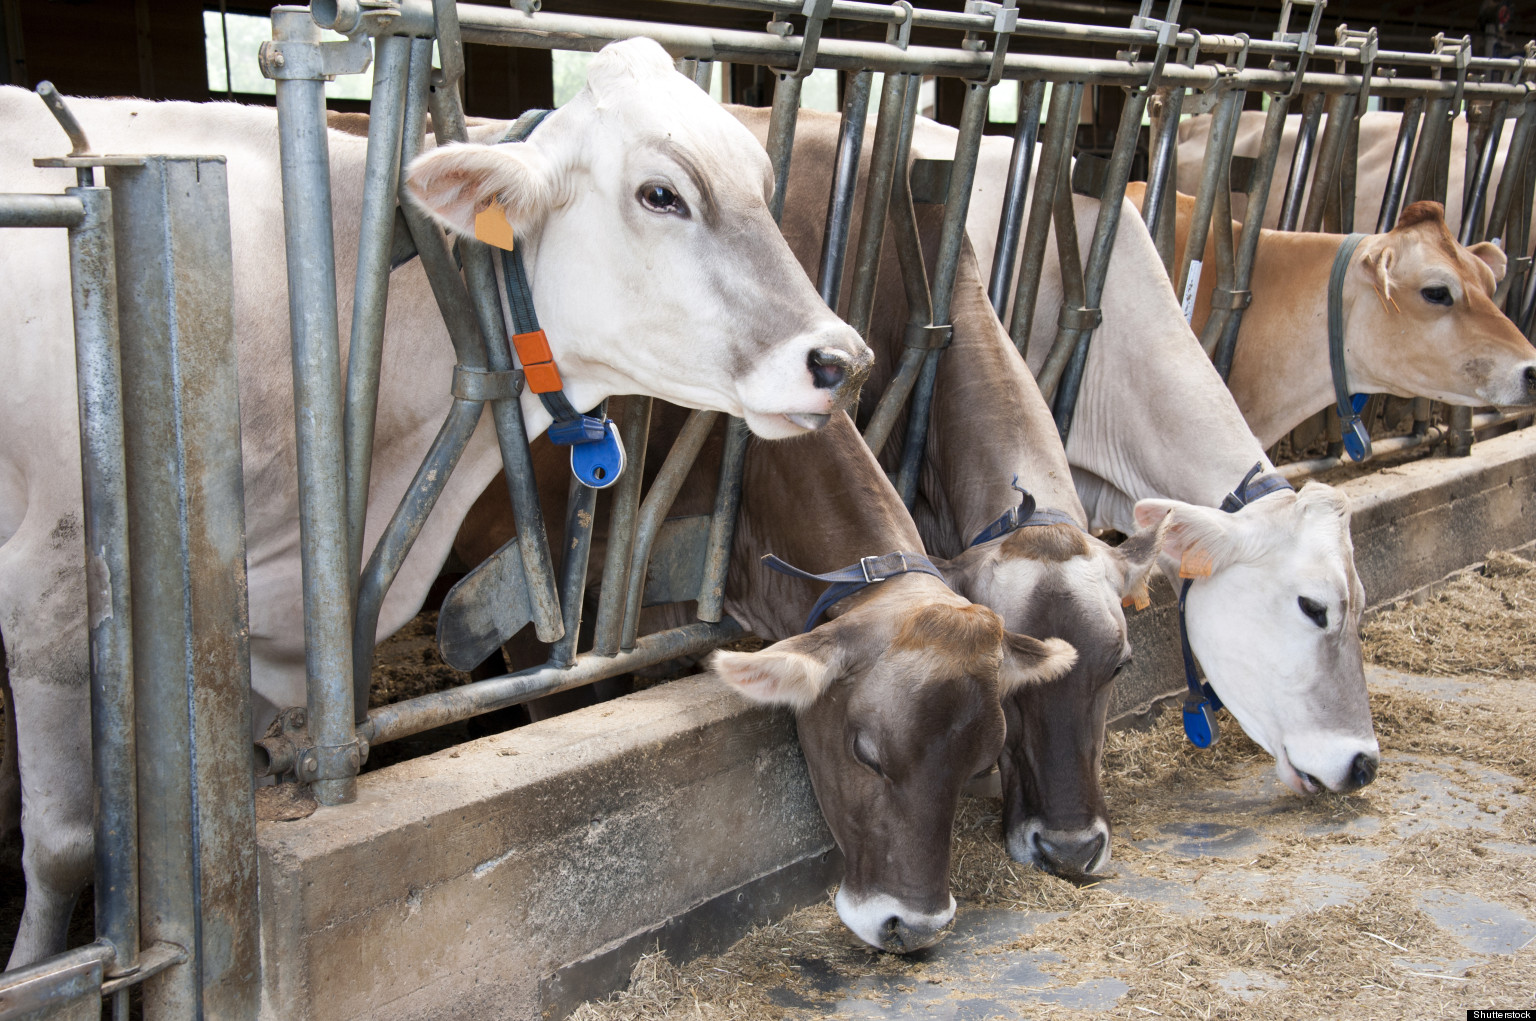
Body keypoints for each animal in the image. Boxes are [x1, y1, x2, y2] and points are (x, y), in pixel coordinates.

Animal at [0, 37, 872, 964]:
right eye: (661, 193)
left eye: (760, 183)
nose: (843, 360)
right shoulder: (48, 596)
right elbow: (63, 846)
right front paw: (37, 964)